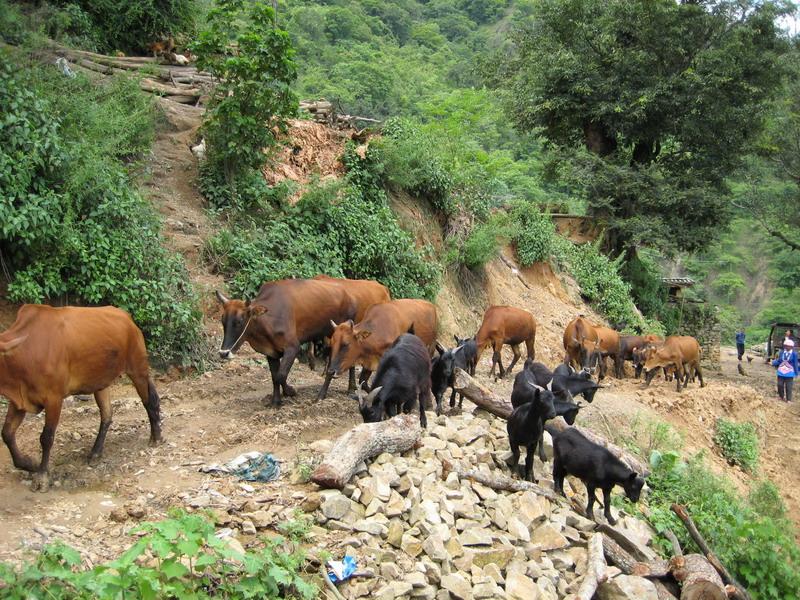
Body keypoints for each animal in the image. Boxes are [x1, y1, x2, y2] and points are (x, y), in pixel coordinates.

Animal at [0, 308, 162, 490]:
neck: (23, 355)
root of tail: (127, 318)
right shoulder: (20, 400)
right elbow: (7, 433)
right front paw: (29, 464)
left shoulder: (54, 398)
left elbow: (46, 437)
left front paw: (42, 476)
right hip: (101, 382)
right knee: (107, 414)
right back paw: (96, 452)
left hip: (138, 368)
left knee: (149, 402)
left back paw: (156, 437)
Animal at [217, 278, 358, 406]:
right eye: (223, 320)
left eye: (239, 321)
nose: (223, 353)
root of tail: (349, 295)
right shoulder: (271, 352)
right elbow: (274, 377)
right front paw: (276, 402)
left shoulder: (292, 347)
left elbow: (281, 375)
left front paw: (290, 391)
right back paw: (349, 388)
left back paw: (326, 394)